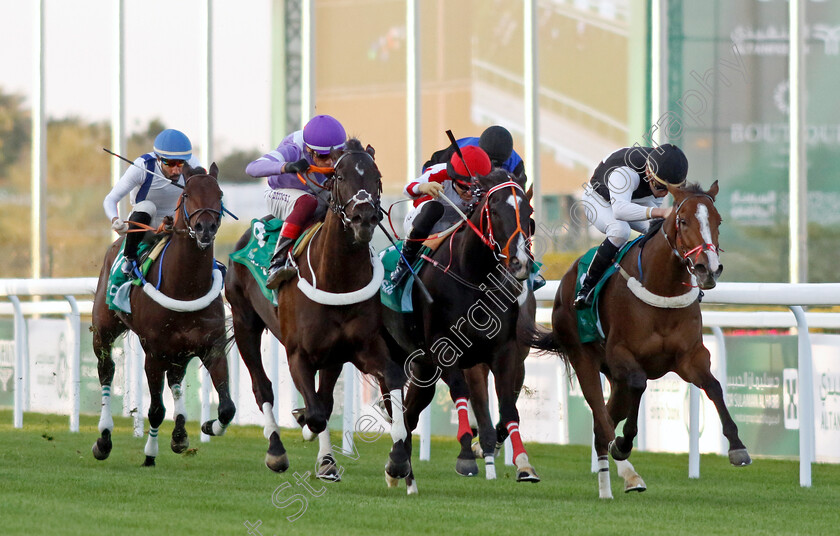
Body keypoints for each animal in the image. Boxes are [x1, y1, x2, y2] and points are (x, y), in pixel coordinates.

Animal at [90, 163, 235, 464]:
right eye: (187, 194)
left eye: (219, 194)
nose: (205, 228)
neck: (186, 286)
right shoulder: (154, 353)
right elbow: (156, 410)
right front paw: (149, 454)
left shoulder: (211, 346)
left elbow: (227, 408)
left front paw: (207, 426)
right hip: (104, 331)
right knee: (106, 371)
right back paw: (104, 438)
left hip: (180, 350)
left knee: (176, 380)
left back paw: (179, 434)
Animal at [221, 138, 408, 482]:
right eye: (340, 175)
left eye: (376, 176)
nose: (363, 218)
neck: (337, 280)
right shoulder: (298, 353)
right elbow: (317, 414)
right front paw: (303, 421)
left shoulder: (358, 347)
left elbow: (390, 377)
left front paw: (398, 459)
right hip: (244, 324)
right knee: (262, 388)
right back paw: (277, 450)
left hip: (332, 355)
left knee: (325, 396)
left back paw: (325, 459)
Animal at [382, 168, 540, 490]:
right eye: (495, 211)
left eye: (528, 214)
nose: (519, 262)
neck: (473, 278)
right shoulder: (445, 349)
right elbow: (460, 393)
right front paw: (467, 453)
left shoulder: (505, 354)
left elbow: (508, 409)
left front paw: (523, 463)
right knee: (396, 405)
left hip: (423, 367)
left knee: (410, 413)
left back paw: (399, 466)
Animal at [528, 181, 752, 498]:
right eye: (684, 221)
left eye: (717, 221)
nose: (708, 269)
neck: (662, 288)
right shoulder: (622, 354)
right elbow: (639, 384)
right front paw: (623, 443)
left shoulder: (691, 357)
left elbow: (714, 386)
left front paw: (737, 447)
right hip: (584, 358)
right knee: (602, 417)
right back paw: (624, 473)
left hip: (613, 377)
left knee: (604, 422)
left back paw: (609, 487)